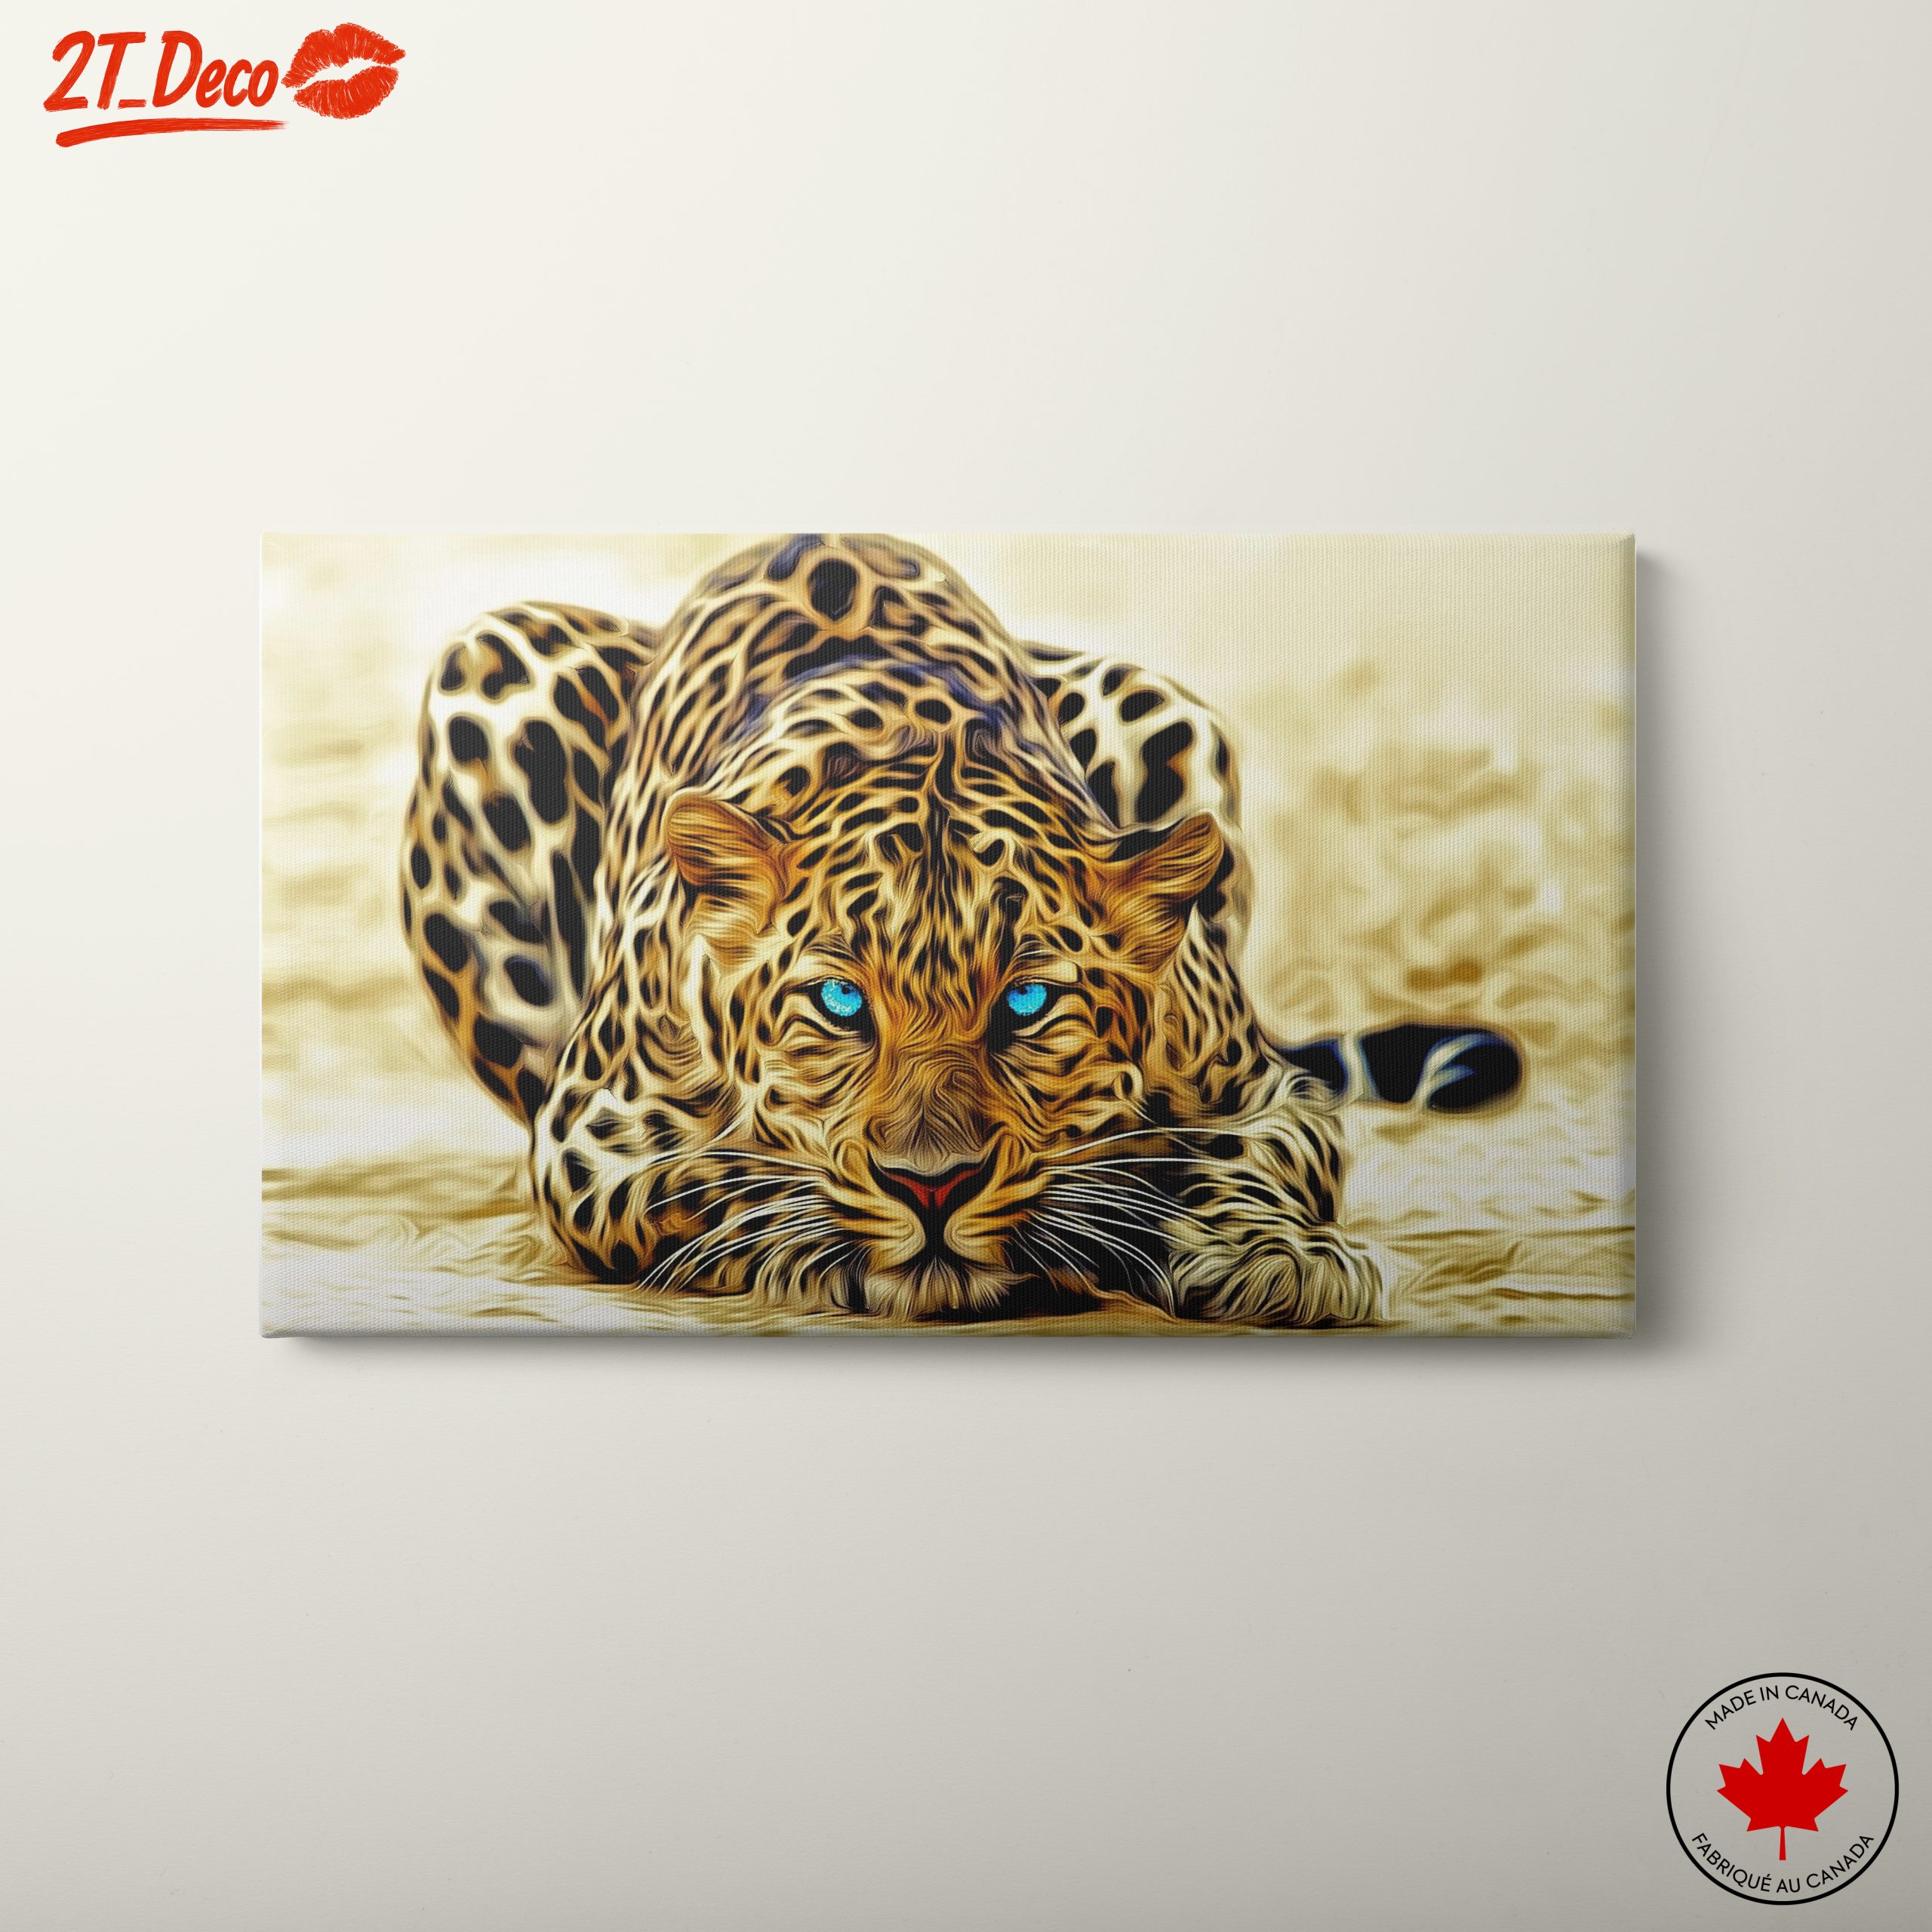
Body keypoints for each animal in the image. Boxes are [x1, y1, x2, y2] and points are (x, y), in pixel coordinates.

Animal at [400, 534, 1519, 1325]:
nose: (930, 1188)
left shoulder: (1265, 1092)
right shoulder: (591, 1135)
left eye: (1026, 1001)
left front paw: (1274, 1254)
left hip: (1164, 705)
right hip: (489, 663)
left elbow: (1243, 1158)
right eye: (840, 1002)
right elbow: (723, 1180)